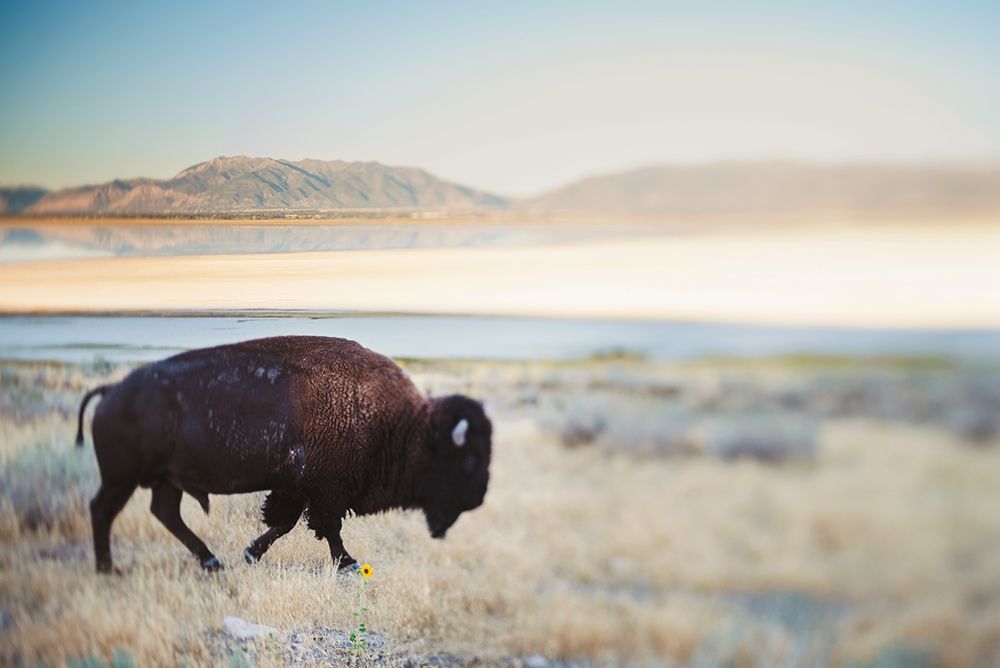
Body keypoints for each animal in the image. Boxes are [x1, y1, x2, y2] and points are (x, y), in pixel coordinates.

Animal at [75, 336, 492, 573]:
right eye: (468, 460)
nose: (478, 498)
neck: (402, 426)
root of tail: (112, 390)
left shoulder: (296, 487)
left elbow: (285, 523)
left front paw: (250, 554)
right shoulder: (325, 491)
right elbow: (327, 528)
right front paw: (349, 564)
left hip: (166, 479)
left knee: (165, 513)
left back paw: (211, 561)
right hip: (122, 478)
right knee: (102, 510)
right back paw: (108, 569)